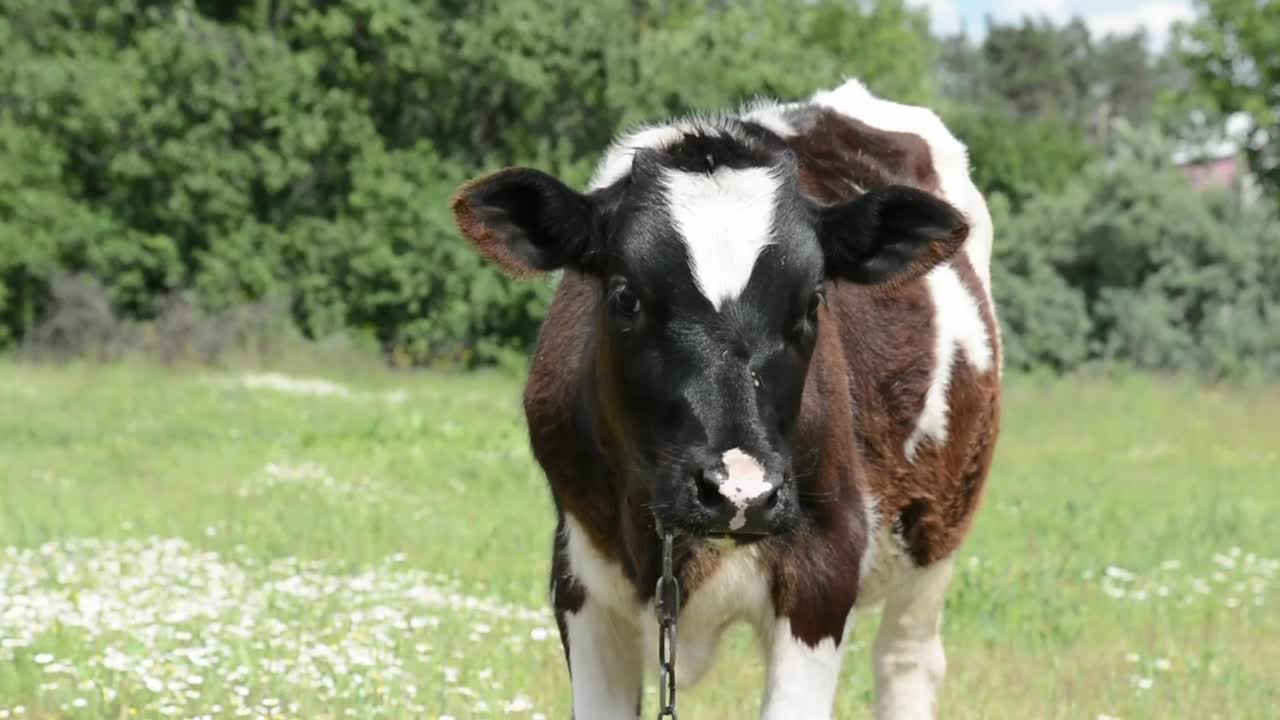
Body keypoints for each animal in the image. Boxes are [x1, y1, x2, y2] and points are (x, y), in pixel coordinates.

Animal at [450, 78, 998, 717]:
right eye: (626, 296)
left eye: (812, 302)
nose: (741, 491)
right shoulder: (579, 575)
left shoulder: (826, 568)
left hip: (937, 529)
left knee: (906, 659)